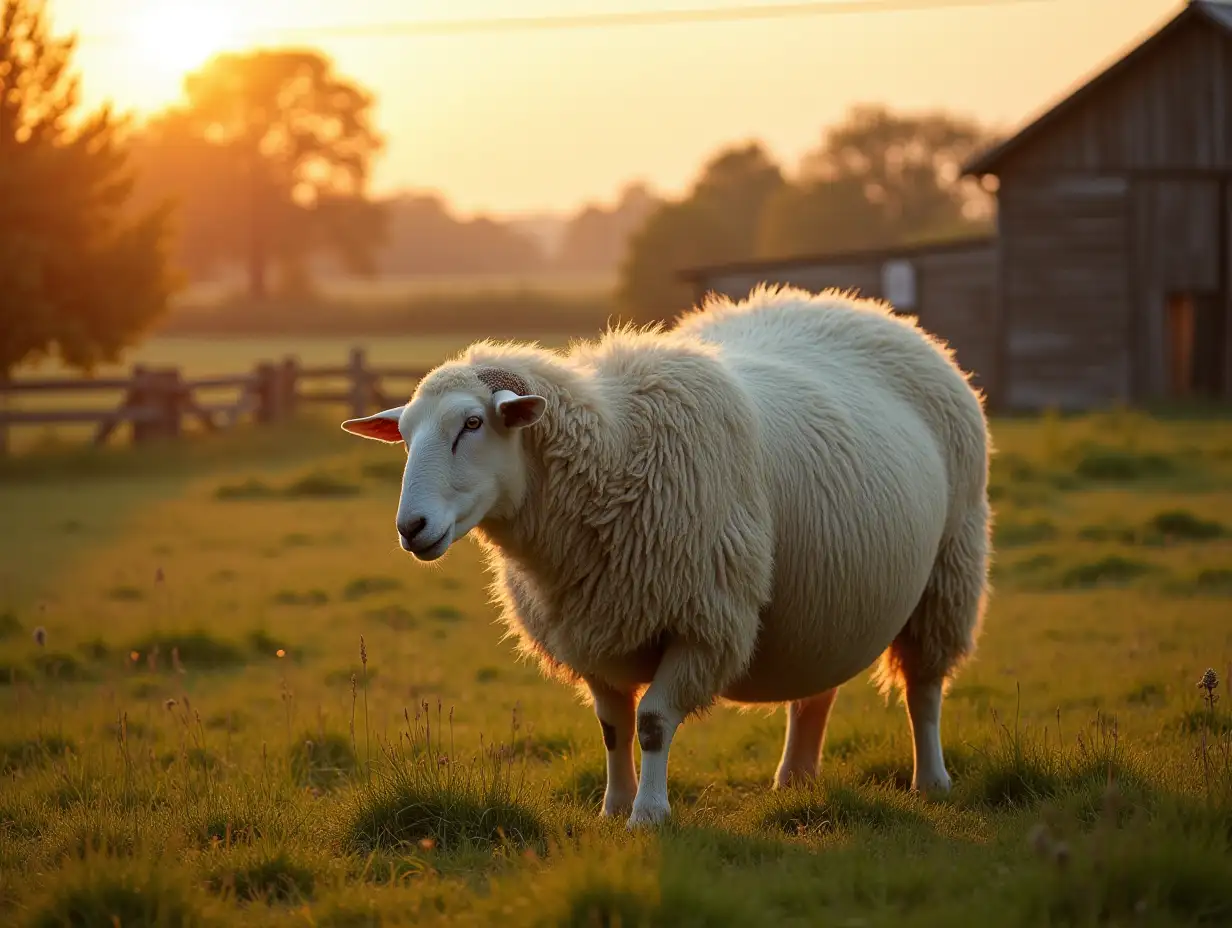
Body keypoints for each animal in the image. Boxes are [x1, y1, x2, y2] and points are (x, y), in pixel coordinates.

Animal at [342, 282, 995, 823]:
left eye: (472, 424)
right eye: (405, 436)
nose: (412, 527)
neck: (613, 461)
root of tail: (864, 308)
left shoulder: (703, 621)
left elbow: (654, 722)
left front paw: (650, 814)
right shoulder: (591, 629)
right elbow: (612, 727)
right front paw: (613, 808)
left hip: (949, 569)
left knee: (924, 689)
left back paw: (931, 780)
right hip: (829, 602)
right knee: (817, 692)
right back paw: (796, 782)